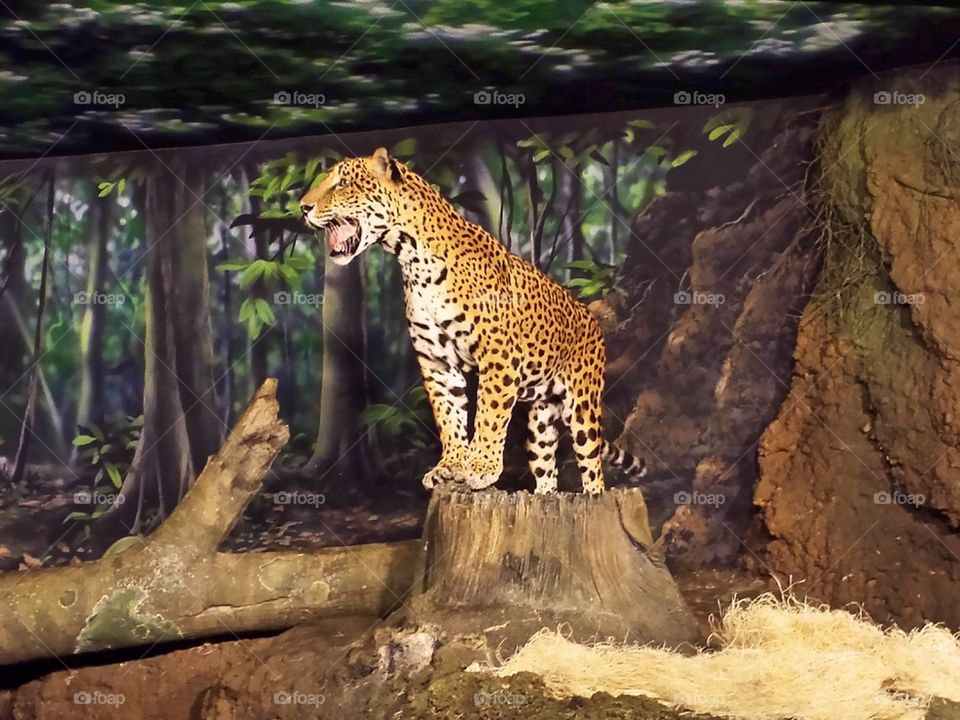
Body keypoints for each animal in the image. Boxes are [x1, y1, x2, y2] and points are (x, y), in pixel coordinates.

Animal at [300, 147, 646, 495]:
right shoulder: (437, 362)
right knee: (547, 469)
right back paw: (544, 494)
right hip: (541, 422)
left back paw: (591, 494)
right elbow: (448, 416)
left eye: (343, 183)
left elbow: (488, 415)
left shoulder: (498, 357)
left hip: (581, 407)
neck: (411, 259)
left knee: (592, 467)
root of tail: (589, 315)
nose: (303, 207)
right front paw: (449, 466)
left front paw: (482, 468)